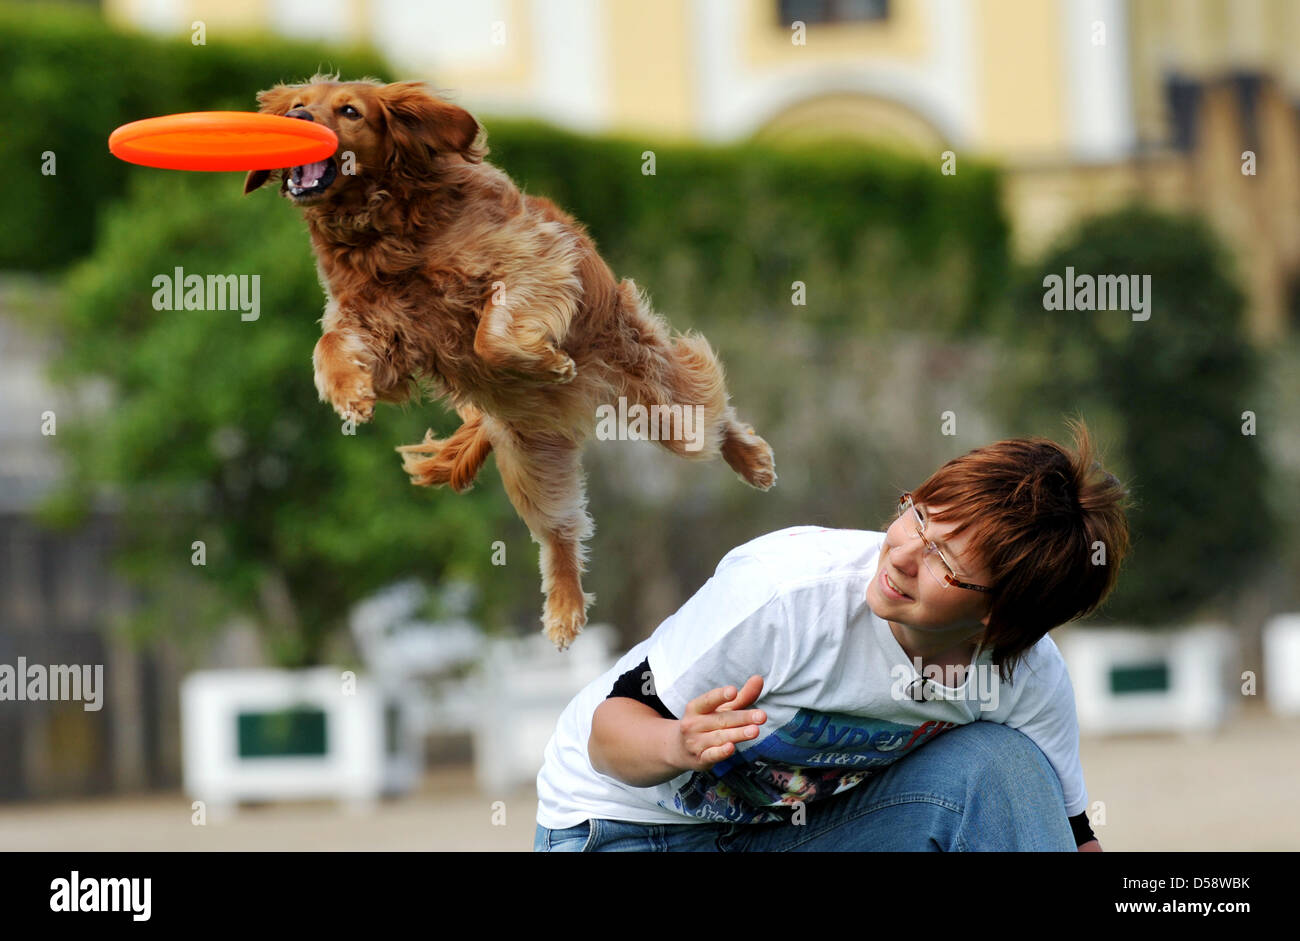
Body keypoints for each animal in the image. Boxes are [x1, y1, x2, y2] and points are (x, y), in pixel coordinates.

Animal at [243, 75, 769, 647]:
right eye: (297, 105)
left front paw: (543, 360)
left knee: (710, 415)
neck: (382, 230)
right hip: (529, 459)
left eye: (349, 112)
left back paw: (748, 457)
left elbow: (489, 335)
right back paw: (564, 609)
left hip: (662, 403)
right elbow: (331, 345)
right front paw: (347, 391)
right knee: (560, 531)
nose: (298, 120)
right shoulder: (384, 332)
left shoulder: (535, 261)